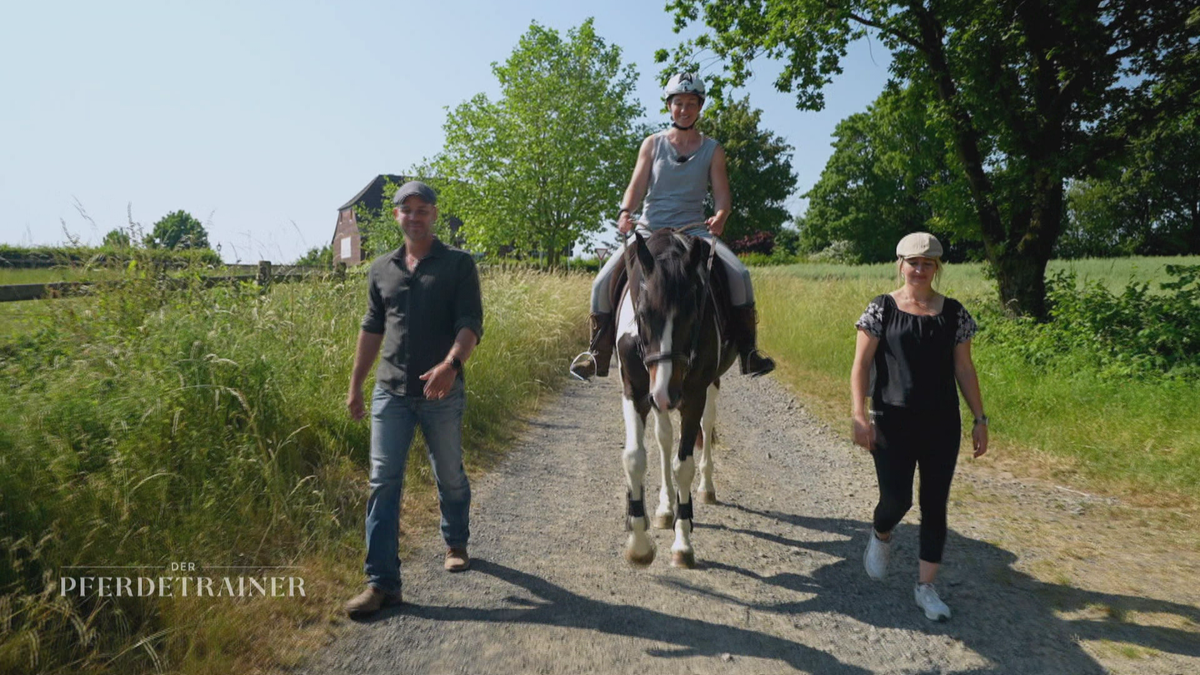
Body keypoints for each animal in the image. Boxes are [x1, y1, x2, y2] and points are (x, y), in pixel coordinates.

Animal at [614, 227, 734, 566]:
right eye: (642, 314)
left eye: (693, 314)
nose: (666, 392)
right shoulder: (636, 391)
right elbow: (635, 457)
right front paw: (639, 543)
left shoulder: (692, 396)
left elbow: (684, 466)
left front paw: (683, 543)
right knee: (664, 439)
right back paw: (665, 509)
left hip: (708, 386)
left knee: (707, 427)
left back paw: (705, 489)